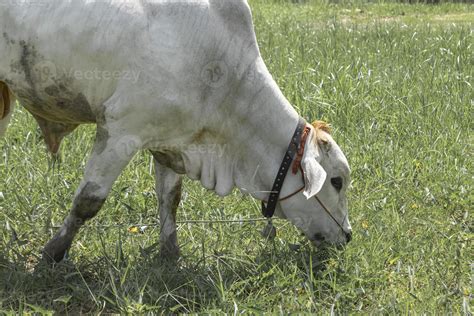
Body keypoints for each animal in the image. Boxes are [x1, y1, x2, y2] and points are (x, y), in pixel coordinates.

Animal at [0, 0, 352, 262]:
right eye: (336, 181)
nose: (347, 236)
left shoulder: (170, 141)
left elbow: (170, 198)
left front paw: (170, 252)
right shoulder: (120, 131)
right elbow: (89, 200)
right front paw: (54, 252)